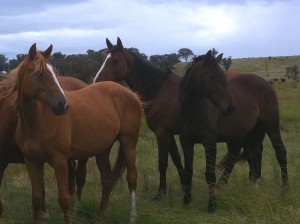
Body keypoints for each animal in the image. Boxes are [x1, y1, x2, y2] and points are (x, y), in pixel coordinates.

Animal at [13, 43, 142, 222]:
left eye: (55, 72)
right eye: (38, 73)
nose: (63, 105)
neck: (35, 121)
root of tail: (132, 95)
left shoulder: (60, 161)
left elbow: (64, 200)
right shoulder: (32, 161)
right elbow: (37, 199)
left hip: (128, 143)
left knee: (132, 179)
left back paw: (132, 217)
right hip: (103, 149)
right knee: (107, 179)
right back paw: (101, 216)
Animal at [92, 36, 233, 201]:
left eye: (115, 60)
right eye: (104, 58)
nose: (97, 81)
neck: (158, 90)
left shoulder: (162, 133)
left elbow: (163, 163)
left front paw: (161, 193)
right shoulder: (170, 134)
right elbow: (177, 160)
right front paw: (184, 187)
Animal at [179, 54, 290, 212]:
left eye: (224, 78)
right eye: (212, 77)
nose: (230, 108)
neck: (194, 109)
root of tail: (266, 83)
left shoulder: (209, 142)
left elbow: (210, 174)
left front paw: (212, 205)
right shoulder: (186, 142)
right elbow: (188, 171)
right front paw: (186, 200)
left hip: (271, 126)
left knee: (279, 151)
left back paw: (285, 187)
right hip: (250, 132)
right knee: (252, 152)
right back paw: (254, 182)